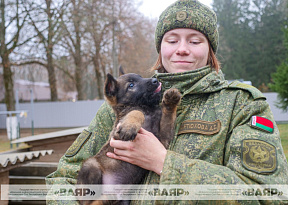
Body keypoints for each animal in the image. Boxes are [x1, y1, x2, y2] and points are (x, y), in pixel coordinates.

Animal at [76, 73, 180, 204]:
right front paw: (129, 126)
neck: (148, 109)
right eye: (131, 85)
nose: (155, 81)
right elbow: (136, 112)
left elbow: (168, 117)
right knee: (89, 202)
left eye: (141, 77)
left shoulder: (163, 140)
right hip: (90, 166)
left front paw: (171, 101)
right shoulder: (117, 136)